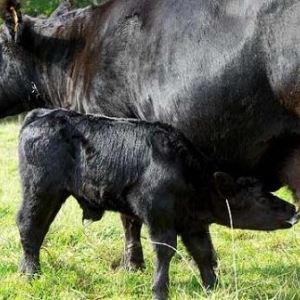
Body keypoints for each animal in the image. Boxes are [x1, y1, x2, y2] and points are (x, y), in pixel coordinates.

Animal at [18, 109, 298, 300]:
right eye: (261, 198)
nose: (293, 209)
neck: (186, 172)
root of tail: (42, 114)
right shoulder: (158, 217)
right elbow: (165, 251)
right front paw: (160, 290)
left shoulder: (193, 225)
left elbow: (203, 253)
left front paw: (213, 287)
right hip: (41, 190)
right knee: (29, 226)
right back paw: (32, 274)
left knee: (36, 229)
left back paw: (24, 271)